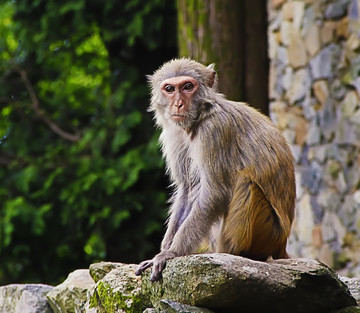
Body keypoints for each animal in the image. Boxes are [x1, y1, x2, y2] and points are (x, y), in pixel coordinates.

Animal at [136, 58, 296, 280]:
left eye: (187, 86)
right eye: (169, 89)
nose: (178, 104)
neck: (200, 116)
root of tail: (282, 245)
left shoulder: (215, 130)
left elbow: (213, 193)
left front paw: (171, 253)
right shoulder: (175, 135)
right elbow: (188, 188)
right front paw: (165, 249)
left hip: (268, 234)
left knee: (246, 183)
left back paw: (233, 253)